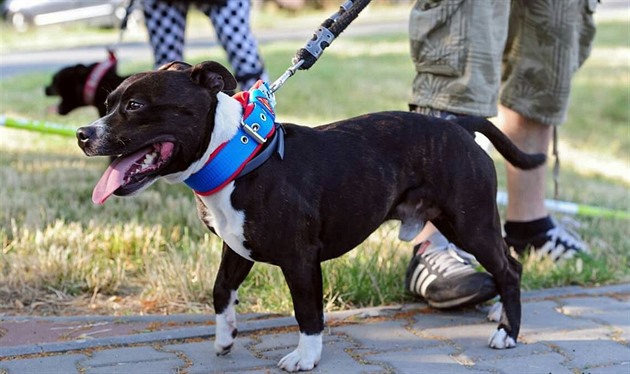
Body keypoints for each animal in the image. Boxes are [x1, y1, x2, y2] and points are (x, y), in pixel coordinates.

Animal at [75, 61, 548, 372]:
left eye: (135, 105)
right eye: (108, 102)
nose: (83, 133)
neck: (236, 156)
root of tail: (459, 126)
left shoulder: (300, 260)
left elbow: (307, 312)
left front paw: (306, 356)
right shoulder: (237, 248)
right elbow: (220, 290)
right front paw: (225, 337)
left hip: (469, 222)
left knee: (509, 267)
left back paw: (507, 332)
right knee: (507, 264)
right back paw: (497, 312)